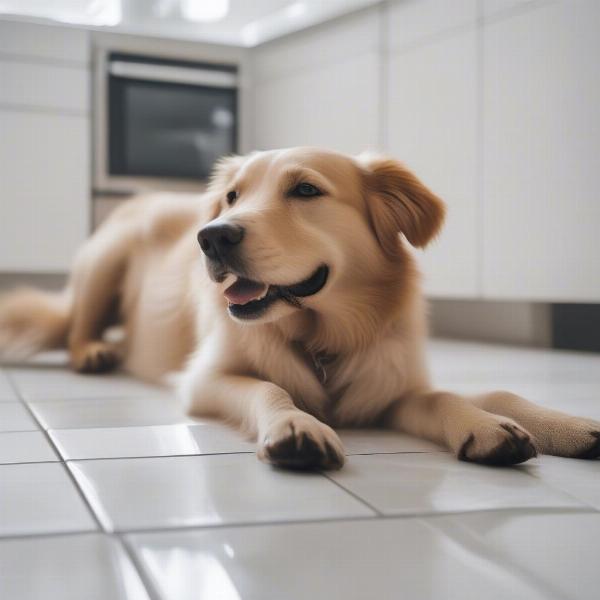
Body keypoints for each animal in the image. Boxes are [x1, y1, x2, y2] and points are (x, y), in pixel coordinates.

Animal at [1, 146, 600, 468]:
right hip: (104, 261)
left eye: (306, 191)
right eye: (234, 196)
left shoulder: (387, 386)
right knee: (75, 326)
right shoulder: (205, 379)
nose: (210, 237)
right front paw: (296, 426)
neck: (323, 336)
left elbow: (477, 395)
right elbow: (270, 387)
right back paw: (93, 352)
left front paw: (540, 425)